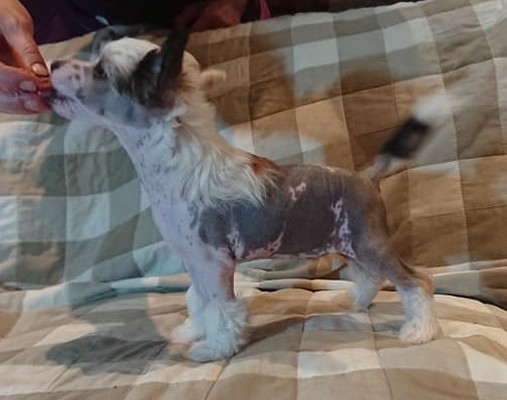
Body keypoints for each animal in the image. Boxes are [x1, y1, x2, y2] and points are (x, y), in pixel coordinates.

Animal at [49, 30, 442, 362]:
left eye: (100, 71)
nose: (52, 64)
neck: (178, 165)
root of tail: (366, 176)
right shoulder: (195, 262)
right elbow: (198, 300)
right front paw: (194, 331)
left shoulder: (214, 263)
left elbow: (222, 308)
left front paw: (215, 348)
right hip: (351, 247)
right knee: (370, 278)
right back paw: (355, 301)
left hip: (369, 245)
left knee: (415, 281)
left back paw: (419, 329)